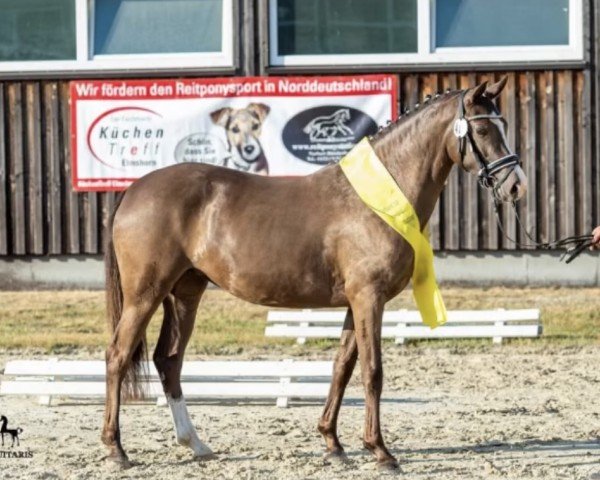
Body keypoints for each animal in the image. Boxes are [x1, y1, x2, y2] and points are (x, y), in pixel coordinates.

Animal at [101, 78, 524, 468]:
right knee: (118, 355)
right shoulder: (369, 298)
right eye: (482, 130)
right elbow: (372, 371)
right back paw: (116, 449)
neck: (379, 197)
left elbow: (342, 367)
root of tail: (135, 189)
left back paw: (196, 444)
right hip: (145, 294)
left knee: (169, 360)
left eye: (503, 124)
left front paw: (333, 444)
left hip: (185, 293)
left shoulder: (356, 302)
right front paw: (380, 450)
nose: (515, 184)